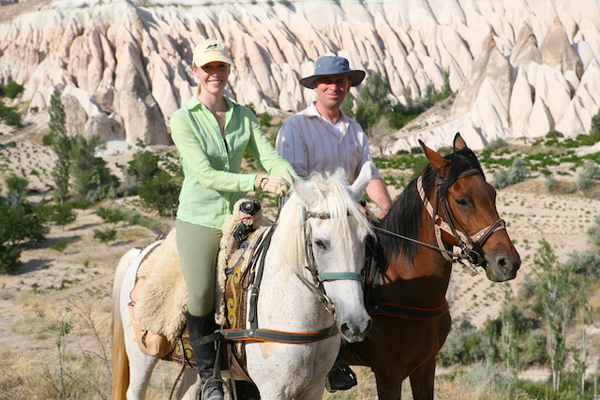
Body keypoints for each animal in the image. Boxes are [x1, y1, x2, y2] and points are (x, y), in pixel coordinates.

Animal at [111, 163, 376, 400]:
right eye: (320, 242)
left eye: (366, 239)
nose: (357, 324)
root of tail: (140, 252)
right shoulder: (274, 391)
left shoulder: (314, 388)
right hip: (141, 357)